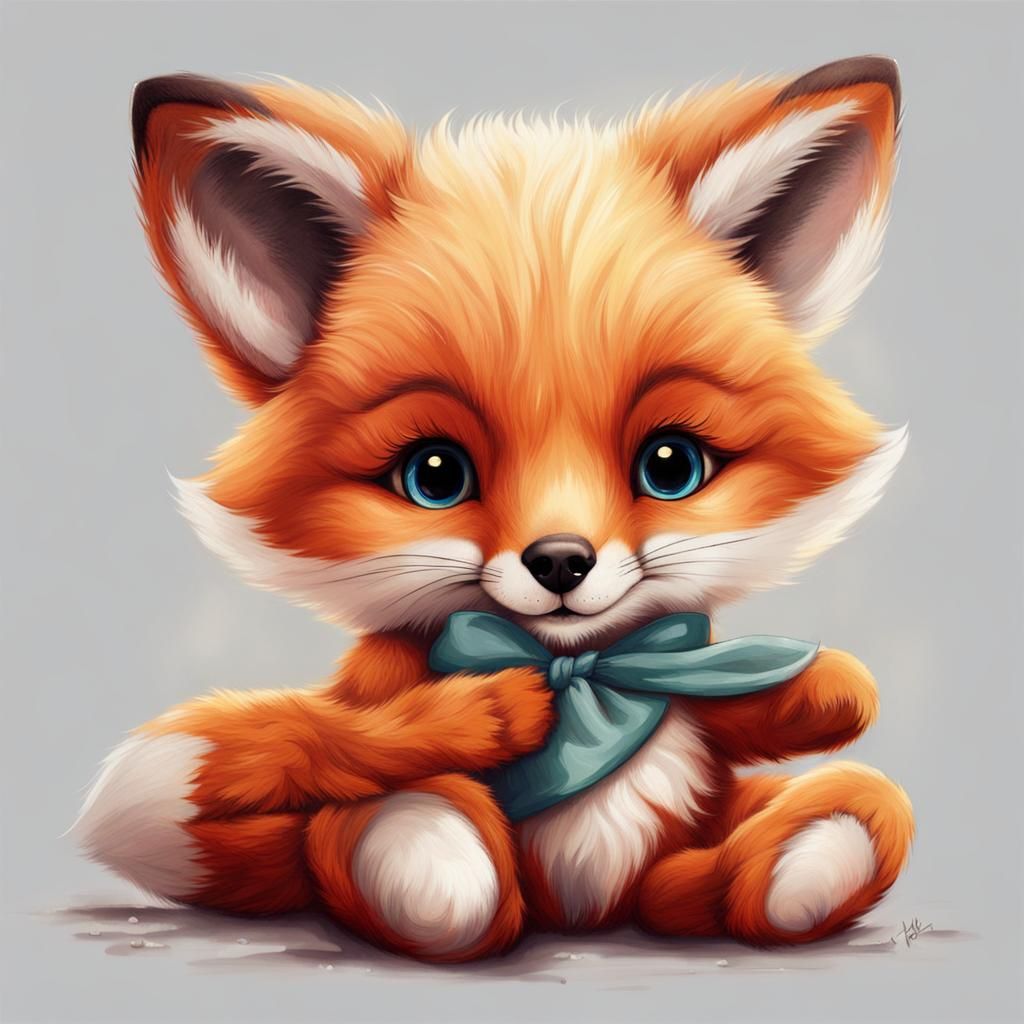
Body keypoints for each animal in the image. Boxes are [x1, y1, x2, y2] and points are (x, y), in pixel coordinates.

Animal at [73, 56, 914, 963]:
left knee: (822, 823)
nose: (560, 561)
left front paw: (830, 685)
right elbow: (327, 736)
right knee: (390, 824)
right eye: (435, 475)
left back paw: (799, 860)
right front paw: (485, 715)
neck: (584, 675)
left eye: (671, 465)